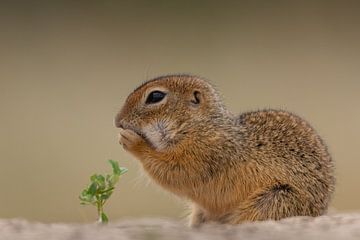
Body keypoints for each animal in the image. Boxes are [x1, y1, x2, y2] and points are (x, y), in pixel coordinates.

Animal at [114, 74, 334, 226]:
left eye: (155, 96)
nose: (117, 121)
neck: (200, 125)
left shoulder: (207, 151)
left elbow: (176, 172)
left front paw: (132, 141)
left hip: (274, 200)